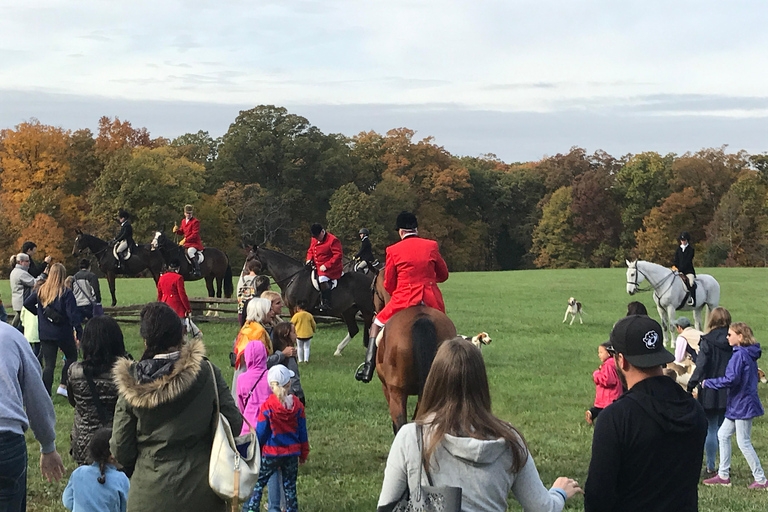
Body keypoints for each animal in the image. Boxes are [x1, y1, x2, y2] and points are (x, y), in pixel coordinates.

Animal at [248, 246, 376, 354]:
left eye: (249, 259)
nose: (246, 274)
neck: (293, 277)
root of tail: (371, 280)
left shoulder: (299, 308)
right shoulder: (291, 309)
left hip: (366, 309)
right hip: (348, 311)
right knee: (354, 329)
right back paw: (338, 351)